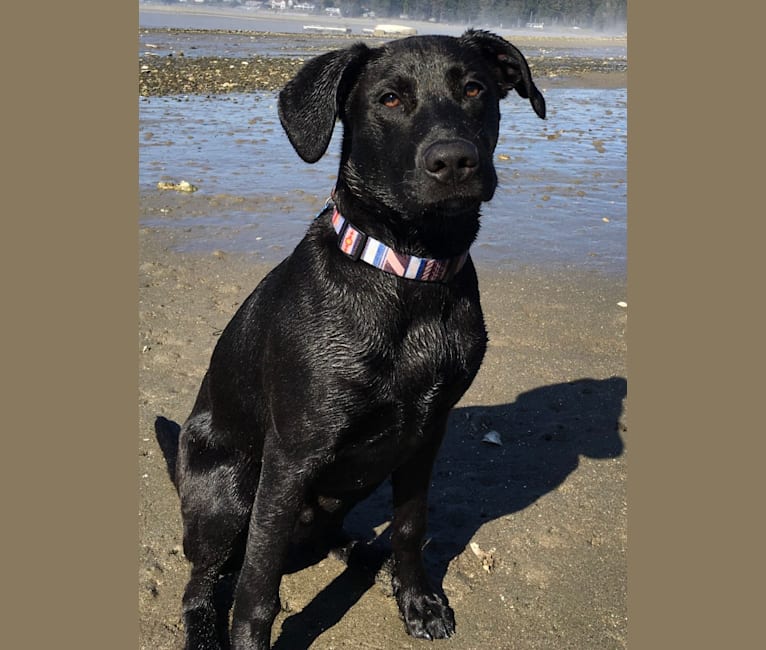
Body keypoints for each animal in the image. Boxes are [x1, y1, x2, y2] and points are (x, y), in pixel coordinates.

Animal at [170, 27, 544, 644]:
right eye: (389, 99)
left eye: (474, 89)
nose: (453, 159)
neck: (408, 272)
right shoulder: (291, 456)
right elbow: (257, 585)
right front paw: (250, 639)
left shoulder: (426, 433)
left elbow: (411, 527)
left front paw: (418, 598)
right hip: (228, 488)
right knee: (202, 582)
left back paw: (364, 554)